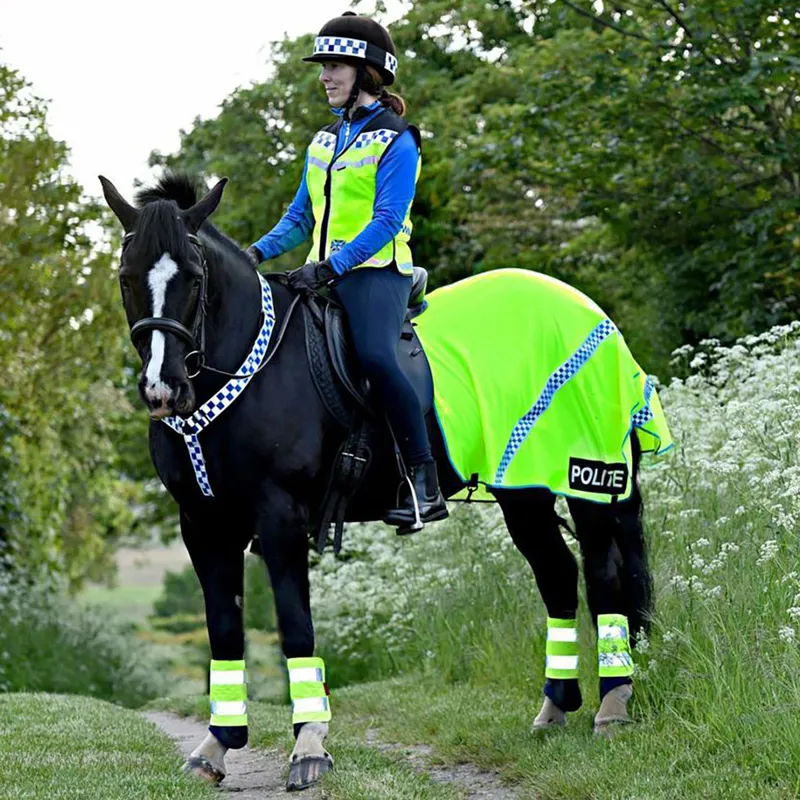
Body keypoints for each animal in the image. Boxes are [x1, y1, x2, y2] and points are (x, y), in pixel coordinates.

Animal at [98, 172, 648, 792]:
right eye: (126, 277)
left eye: (193, 278)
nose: (162, 389)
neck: (245, 367)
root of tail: (591, 312)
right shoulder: (203, 523)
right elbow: (223, 630)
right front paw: (216, 745)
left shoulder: (280, 517)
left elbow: (295, 628)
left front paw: (309, 746)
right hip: (523, 493)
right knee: (557, 575)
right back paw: (554, 708)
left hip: (586, 482)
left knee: (603, 576)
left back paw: (612, 708)